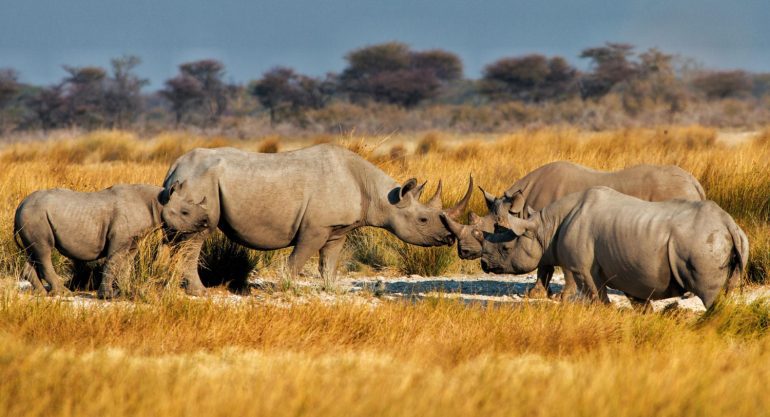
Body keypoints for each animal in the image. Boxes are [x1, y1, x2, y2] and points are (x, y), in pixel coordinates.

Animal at [14, 184, 164, 298]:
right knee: (44, 251)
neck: (156, 201)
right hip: (35, 215)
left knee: (34, 252)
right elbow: (113, 262)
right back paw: (64, 293)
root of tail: (20, 205)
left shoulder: (133, 239)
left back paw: (42, 293)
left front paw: (127, 293)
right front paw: (107, 296)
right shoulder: (120, 237)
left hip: (31, 216)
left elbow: (126, 265)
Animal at [160, 144, 472, 295]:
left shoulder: (338, 229)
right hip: (199, 182)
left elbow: (329, 262)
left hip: (186, 185)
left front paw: (332, 289)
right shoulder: (315, 228)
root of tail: (175, 165)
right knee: (196, 238)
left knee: (178, 238)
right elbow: (298, 260)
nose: (448, 238)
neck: (381, 195)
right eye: (423, 220)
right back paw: (200, 293)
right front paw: (283, 290)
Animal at [443, 161, 706, 298]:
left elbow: (556, 266)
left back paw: (686, 294)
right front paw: (536, 295)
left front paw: (562, 297)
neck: (519, 205)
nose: (464, 252)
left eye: (495, 228)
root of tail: (695, 183)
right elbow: (545, 265)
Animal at [474, 186, 747, 309]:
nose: (484, 264)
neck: (545, 227)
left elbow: (597, 297)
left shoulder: (580, 268)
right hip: (732, 240)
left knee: (710, 296)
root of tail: (729, 223)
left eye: (506, 248)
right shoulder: (632, 270)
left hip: (703, 242)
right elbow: (638, 302)